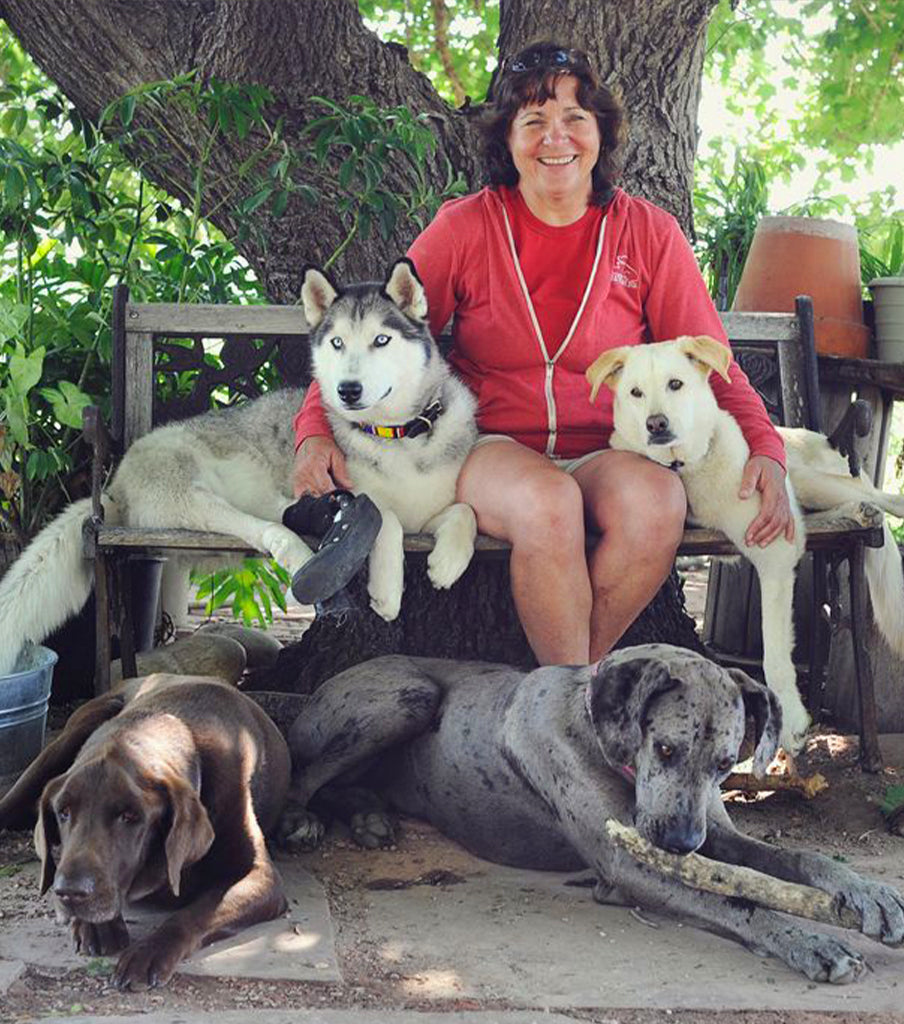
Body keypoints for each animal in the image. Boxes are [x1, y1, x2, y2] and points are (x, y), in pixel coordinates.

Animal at [300, 260, 477, 618]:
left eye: (381, 339)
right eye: (337, 343)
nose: (347, 389)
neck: (397, 433)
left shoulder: (427, 516)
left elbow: (467, 510)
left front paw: (448, 563)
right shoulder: (360, 497)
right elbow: (386, 517)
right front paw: (387, 593)